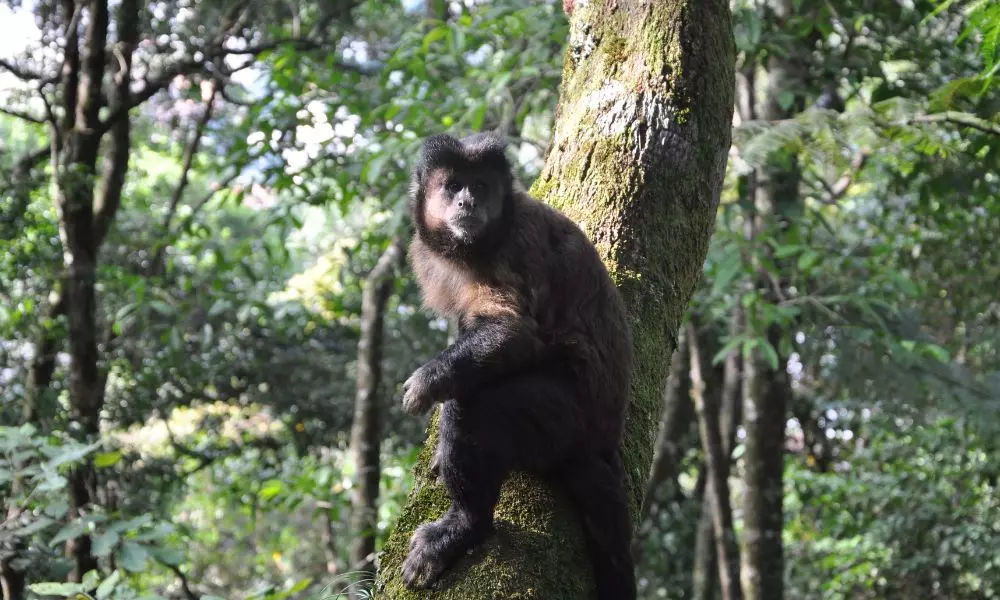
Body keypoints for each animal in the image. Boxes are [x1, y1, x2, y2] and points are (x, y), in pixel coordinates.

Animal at [396, 132, 632, 600]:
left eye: (480, 187)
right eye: (454, 185)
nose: (467, 202)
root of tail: (601, 441)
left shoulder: (513, 248)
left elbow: (515, 331)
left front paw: (428, 382)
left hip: (563, 423)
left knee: (478, 404)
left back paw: (465, 526)